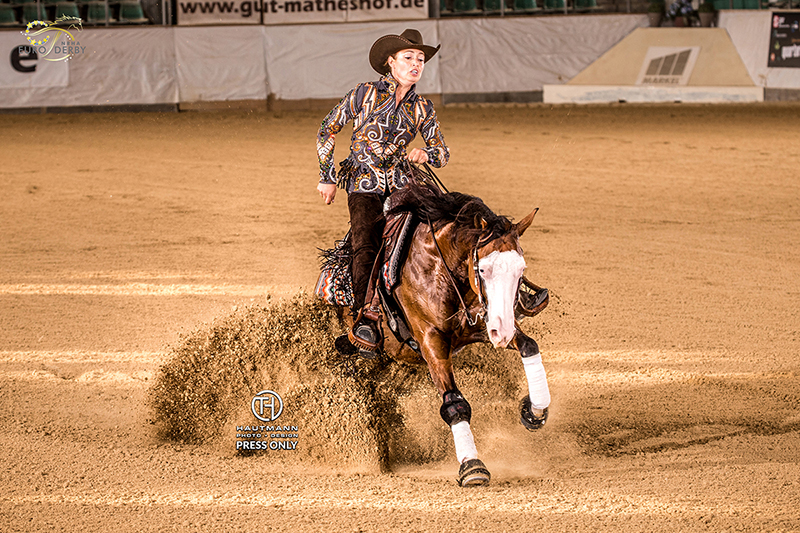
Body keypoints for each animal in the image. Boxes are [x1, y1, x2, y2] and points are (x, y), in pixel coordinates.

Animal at [318, 179, 552, 486]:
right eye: (483, 269)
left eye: (520, 268)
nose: (502, 331)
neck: (441, 270)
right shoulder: (431, 340)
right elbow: (454, 402)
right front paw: (472, 466)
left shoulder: (484, 322)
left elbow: (529, 345)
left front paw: (534, 411)